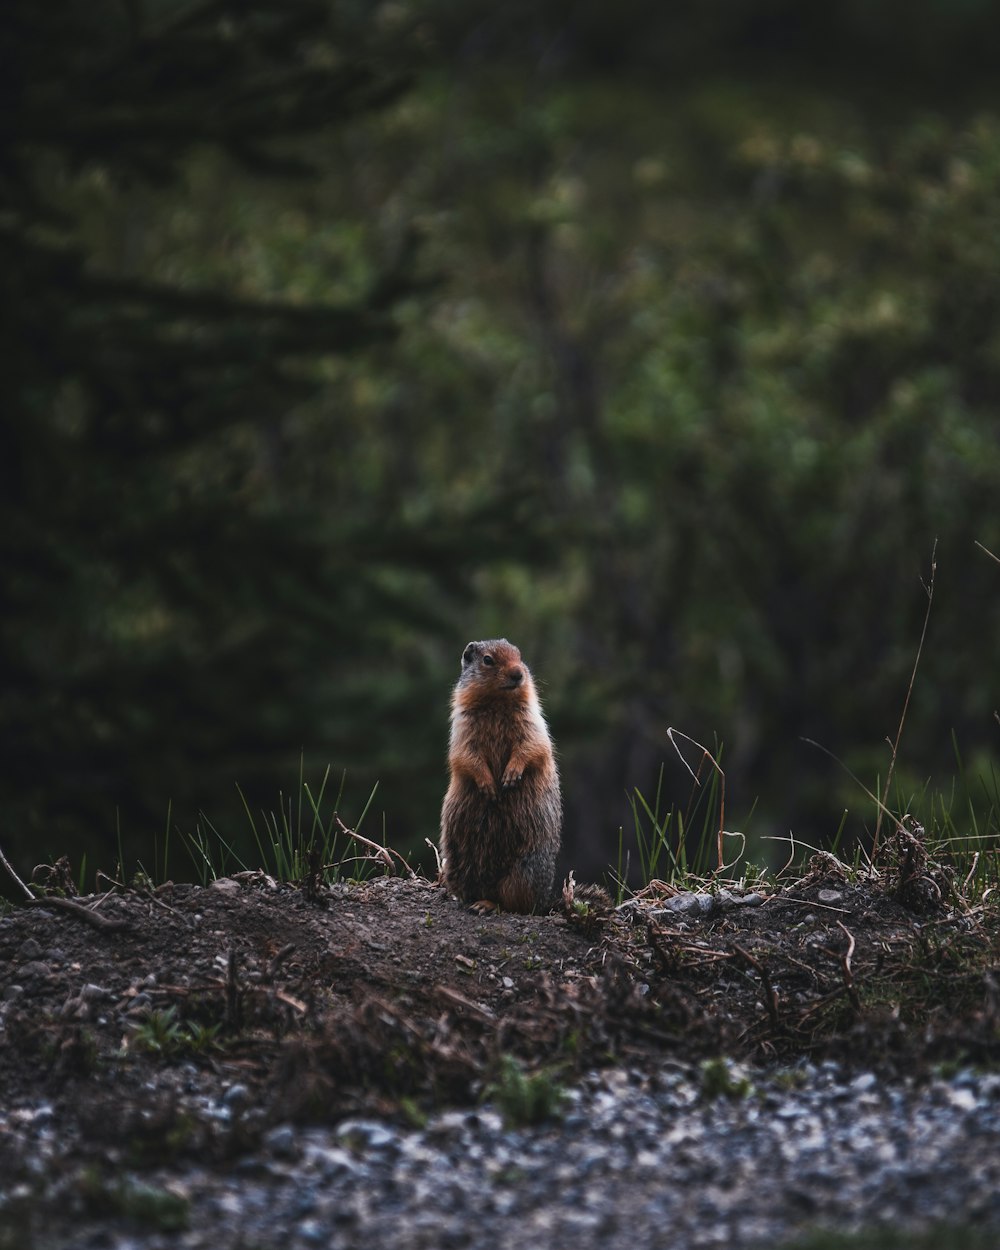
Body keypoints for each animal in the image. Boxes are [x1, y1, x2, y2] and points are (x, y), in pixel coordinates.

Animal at [440, 640, 562, 915]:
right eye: (488, 660)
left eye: (519, 655)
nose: (518, 674)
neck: (498, 702)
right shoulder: (463, 724)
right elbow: (466, 755)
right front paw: (489, 785)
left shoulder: (531, 719)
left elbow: (532, 745)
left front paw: (511, 776)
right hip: (457, 863)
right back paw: (476, 902)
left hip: (525, 869)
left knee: (514, 904)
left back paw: (488, 905)